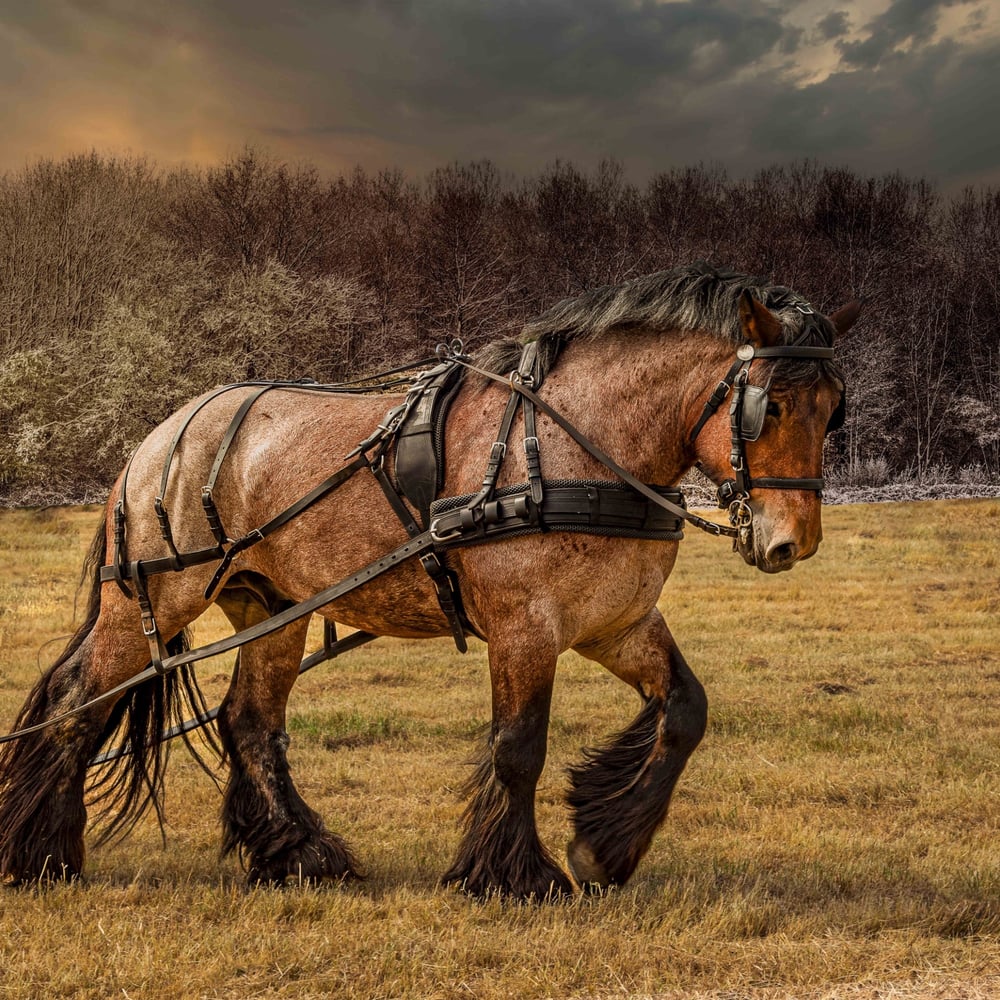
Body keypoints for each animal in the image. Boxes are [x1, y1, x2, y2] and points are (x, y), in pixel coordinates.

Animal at [0, 264, 860, 898]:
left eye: (833, 410)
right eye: (769, 407)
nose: (793, 542)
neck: (576, 443)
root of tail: (163, 433)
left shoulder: (616, 624)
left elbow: (685, 711)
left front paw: (605, 847)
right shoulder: (524, 626)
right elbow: (519, 745)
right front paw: (515, 876)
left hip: (274, 607)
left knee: (249, 724)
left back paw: (301, 856)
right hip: (150, 598)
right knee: (77, 705)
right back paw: (41, 854)